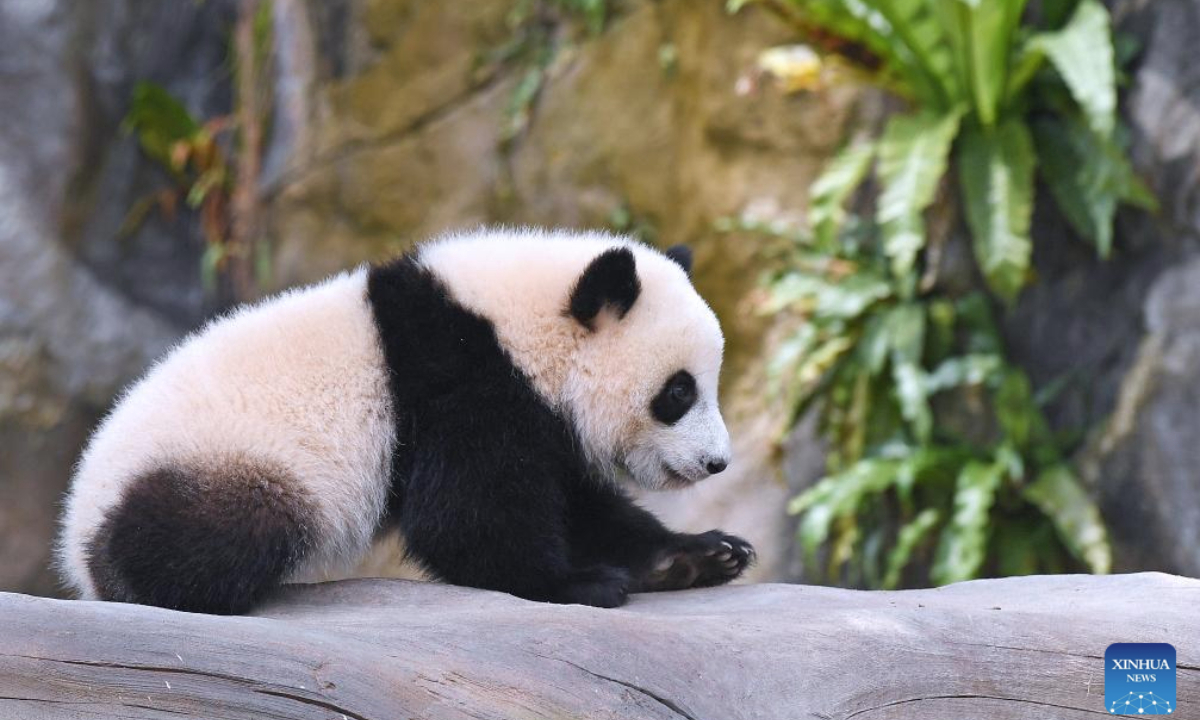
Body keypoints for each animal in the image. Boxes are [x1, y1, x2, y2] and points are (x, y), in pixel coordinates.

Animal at [57, 228, 754, 614]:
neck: (517, 327)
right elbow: (465, 517)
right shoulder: (461, 384)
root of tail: (77, 542)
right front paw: (576, 583)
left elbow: (582, 505)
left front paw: (701, 555)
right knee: (227, 530)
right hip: (221, 463)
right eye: (679, 392)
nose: (716, 462)